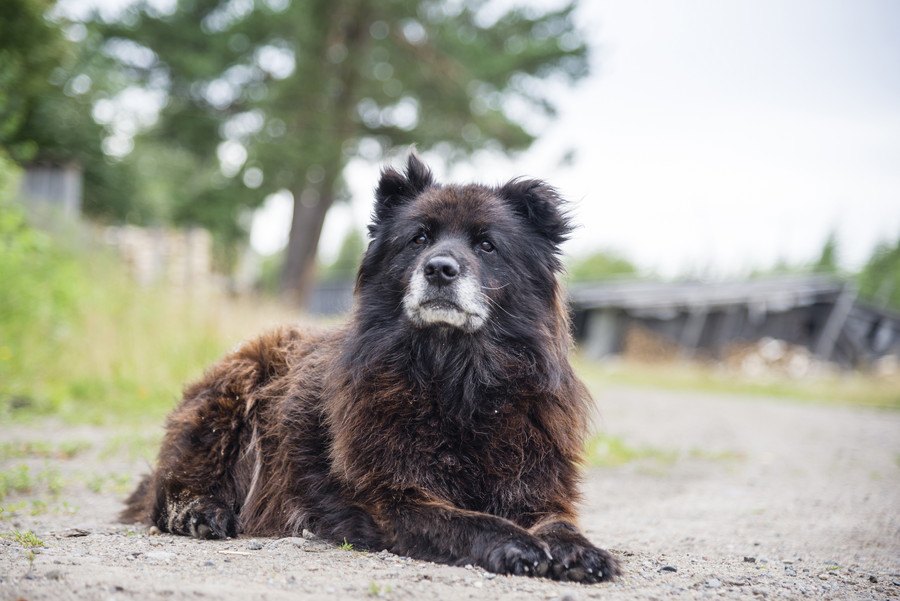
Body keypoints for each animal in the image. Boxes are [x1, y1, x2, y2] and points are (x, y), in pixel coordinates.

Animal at [121, 155, 620, 580]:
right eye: (419, 238)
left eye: (487, 245)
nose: (439, 269)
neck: (456, 379)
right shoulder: (392, 498)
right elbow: (470, 521)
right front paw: (518, 544)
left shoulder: (536, 487)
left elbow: (559, 523)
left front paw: (582, 551)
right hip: (231, 394)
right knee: (167, 490)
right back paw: (201, 511)